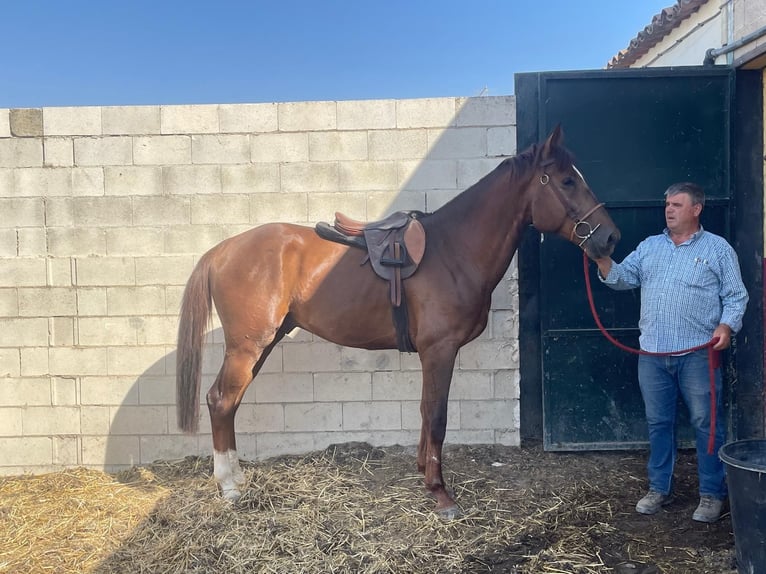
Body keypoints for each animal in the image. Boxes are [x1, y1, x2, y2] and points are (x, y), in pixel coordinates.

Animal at [177, 128, 620, 520]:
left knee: (229, 403)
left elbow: (425, 411)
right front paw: (441, 494)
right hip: (248, 346)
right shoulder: (440, 350)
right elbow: (437, 416)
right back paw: (230, 486)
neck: (453, 250)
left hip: (262, 344)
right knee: (221, 401)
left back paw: (238, 479)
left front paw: (424, 473)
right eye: (566, 180)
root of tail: (222, 250)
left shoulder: (432, 353)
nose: (611, 238)